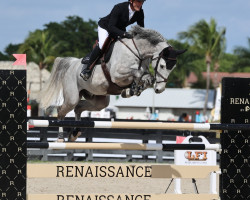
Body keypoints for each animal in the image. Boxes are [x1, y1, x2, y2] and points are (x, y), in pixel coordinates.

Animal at [39, 25, 187, 141]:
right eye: (162, 66)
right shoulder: (117, 74)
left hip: (99, 100)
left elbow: (147, 78)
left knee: (79, 108)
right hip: (72, 97)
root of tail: (72, 63)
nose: (160, 89)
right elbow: (137, 73)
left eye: (173, 68)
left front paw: (132, 89)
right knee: (61, 110)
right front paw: (131, 90)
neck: (138, 52)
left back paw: (75, 133)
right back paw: (60, 138)